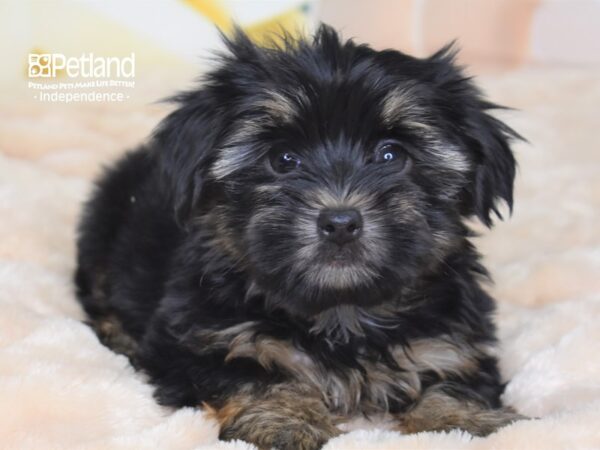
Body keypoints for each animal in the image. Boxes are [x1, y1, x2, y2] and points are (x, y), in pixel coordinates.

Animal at [75, 25, 524, 450]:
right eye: (283, 159)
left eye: (391, 155)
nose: (340, 222)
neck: (341, 311)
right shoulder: (197, 340)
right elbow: (253, 375)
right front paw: (285, 421)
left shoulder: (452, 341)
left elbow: (453, 378)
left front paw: (466, 422)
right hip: (104, 221)